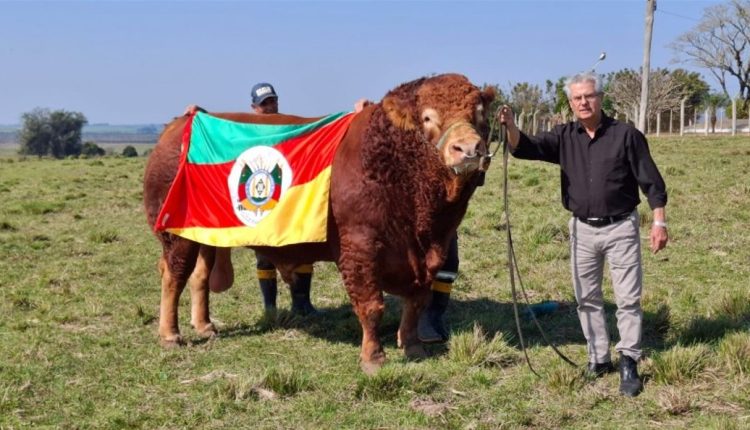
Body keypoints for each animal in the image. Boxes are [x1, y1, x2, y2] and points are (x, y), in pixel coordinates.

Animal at [144, 74, 496, 372]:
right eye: (427, 117)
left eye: (480, 113)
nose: (468, 148)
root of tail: (174, 127)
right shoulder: (360, 247)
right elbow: (372, 304)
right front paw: (373, 358)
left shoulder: (428, 254)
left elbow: (417, 302)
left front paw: (413, 347)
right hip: (177, 235)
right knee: (174, 276)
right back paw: (170, 334)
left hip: (204, 235)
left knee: (199, 276)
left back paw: (204, 325)